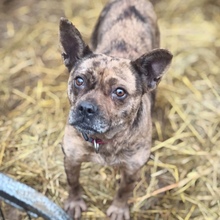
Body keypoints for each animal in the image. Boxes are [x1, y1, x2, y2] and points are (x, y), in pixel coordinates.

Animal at [59, 0, 173, 220]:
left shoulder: (132, 170)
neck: (105, 139)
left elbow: (123, 191)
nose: (86, 108)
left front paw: (119, 209)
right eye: (79, 80)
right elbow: (73, 183)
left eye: (119, 92)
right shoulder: (72, 158)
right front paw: (74, 201)